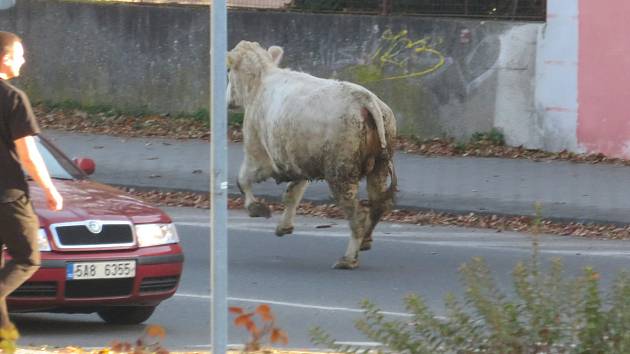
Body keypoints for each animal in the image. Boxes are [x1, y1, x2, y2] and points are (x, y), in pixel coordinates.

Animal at [228, 40, 400, 268]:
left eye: (228, 72)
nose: (228, 100)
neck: (260, 81)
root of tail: (366, 100)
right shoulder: (298, 158)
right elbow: (293, 192)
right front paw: (284, 225)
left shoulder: (259, 150)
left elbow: (243, 178)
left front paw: (256, 208)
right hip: (380, 161)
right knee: (379, 203)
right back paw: (366, 240)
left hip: (341, 167)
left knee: (357, 213)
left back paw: (348, 258)